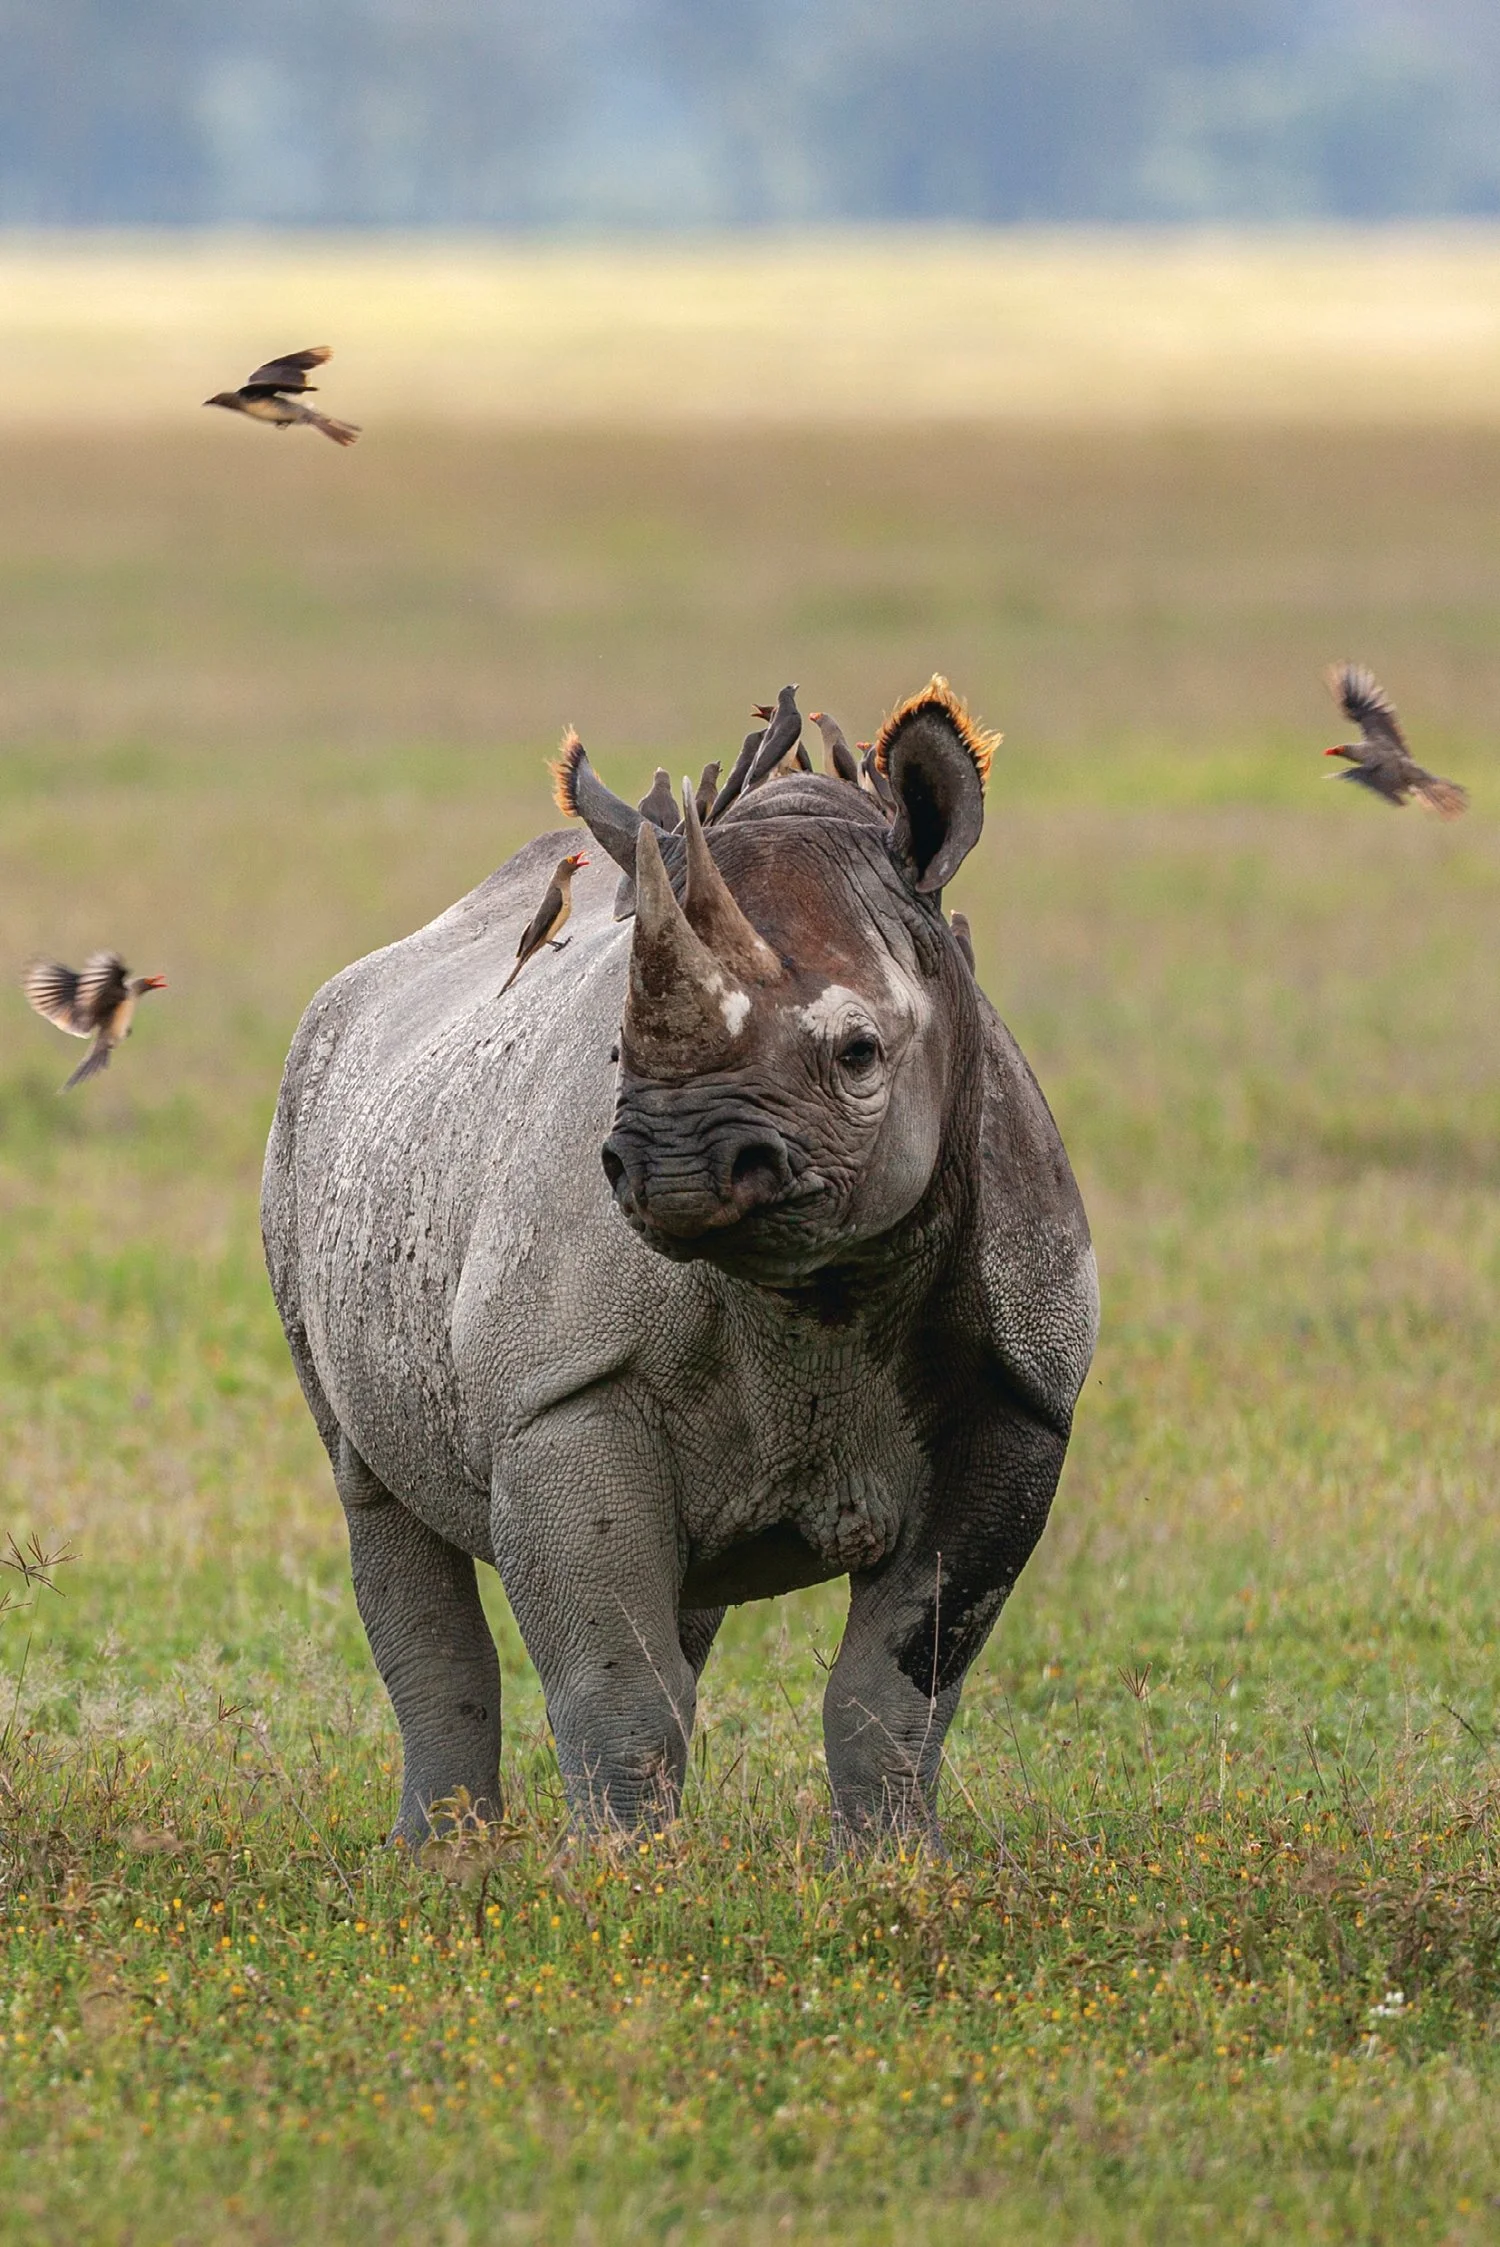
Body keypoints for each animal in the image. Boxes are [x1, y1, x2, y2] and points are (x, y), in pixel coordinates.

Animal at [262, 678, 1098, 1844]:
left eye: (859, 1055)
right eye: (615, 1050)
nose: (674, 1162)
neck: (815, 1290)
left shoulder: (1020, 1391)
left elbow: (898, 1686)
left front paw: (895, 1867)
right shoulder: (561, 1390)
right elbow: (617, 1683)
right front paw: (620, 1873)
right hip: (303, 1116)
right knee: (371, 1489)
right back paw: (442, 1859)